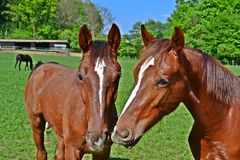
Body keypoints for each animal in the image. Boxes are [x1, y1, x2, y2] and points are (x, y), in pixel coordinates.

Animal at [25, 23, 122, 159]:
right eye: (80, 76)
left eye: (118, 76)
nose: (96, 138)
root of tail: (41, 66)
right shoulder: (73, 150)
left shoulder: (103, 152)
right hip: (36, 122)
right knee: (41, 152)